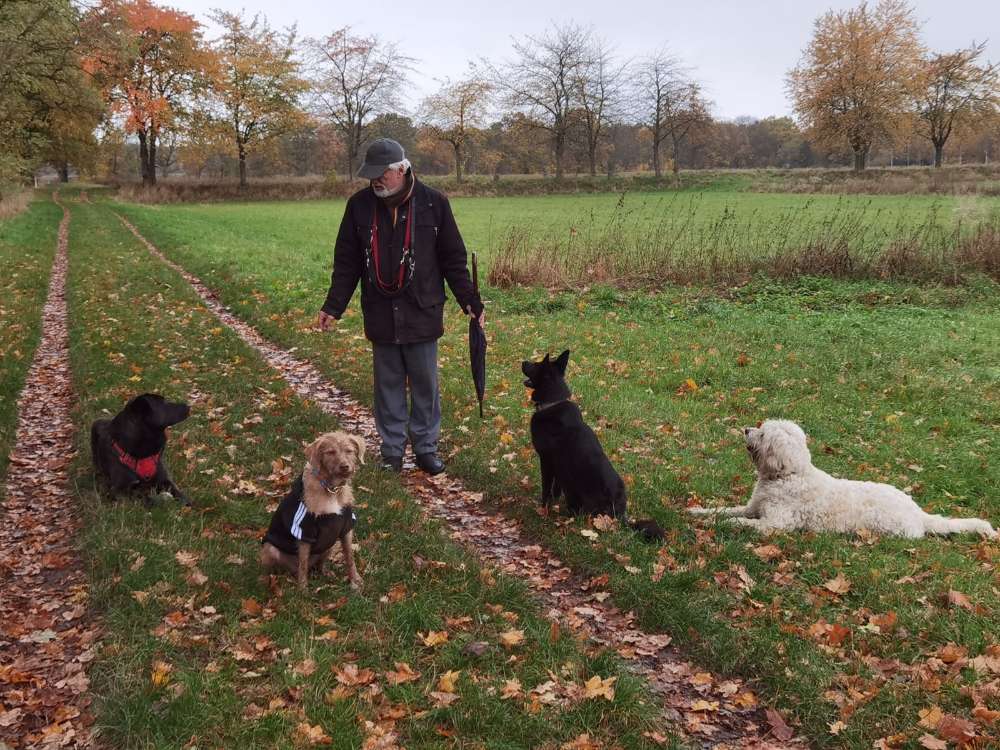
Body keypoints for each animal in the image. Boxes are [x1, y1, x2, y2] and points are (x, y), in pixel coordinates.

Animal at [260, 434, 366, 592]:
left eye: (349, 451)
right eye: (330, 452)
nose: (344, 466)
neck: (331, 490)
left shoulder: (346, 528)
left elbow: (350, 557)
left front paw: (355, 580)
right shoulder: (305, 531)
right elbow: (303, 563)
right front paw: (303, 589)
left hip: (329, 544)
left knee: (318, 565)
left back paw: (326, 573)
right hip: (270, 549)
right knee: (285, 569)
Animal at [692, 424, 996, 540]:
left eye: (764, 434)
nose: (746, 429)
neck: (789, 475)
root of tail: (919, 513)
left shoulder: (774, 523)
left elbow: (742, 522)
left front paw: (725, 524)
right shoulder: (751, 508)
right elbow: (724, 509)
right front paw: (698, 511)